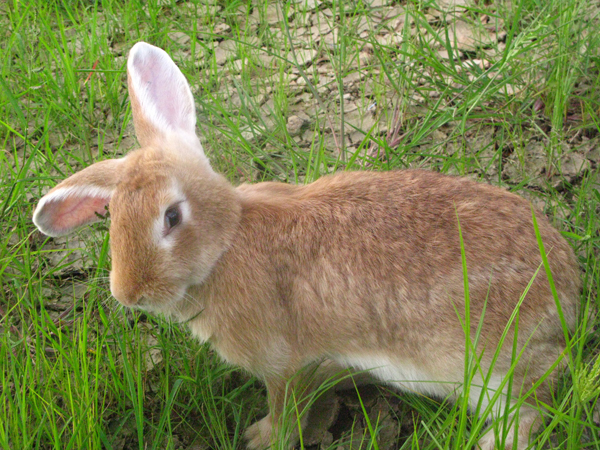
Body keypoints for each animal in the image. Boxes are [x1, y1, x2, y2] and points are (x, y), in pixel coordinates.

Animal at [34, 41, 580, 446]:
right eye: (111, 218)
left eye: (171, 216)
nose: (130, 294)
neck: (228, 240)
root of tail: (571, 293)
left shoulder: (284, 363)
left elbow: (284, 408)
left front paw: (260, 437)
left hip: (493, 369)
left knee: (536, 405)